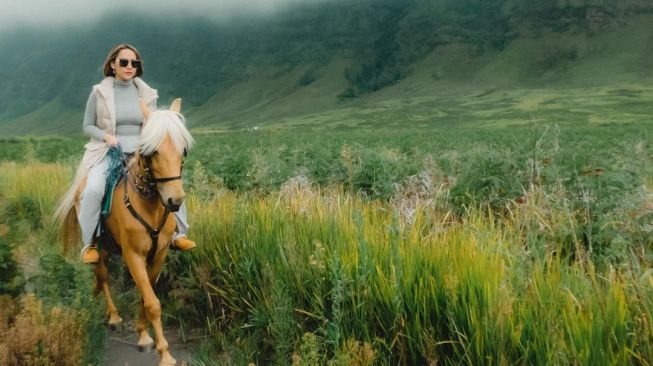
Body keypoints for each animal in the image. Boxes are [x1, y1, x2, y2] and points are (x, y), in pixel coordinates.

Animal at [56, 98, 191, 364]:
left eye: (183, 150)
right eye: (152, 151)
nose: (175, 200)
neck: (149, 204)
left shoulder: (158, 255)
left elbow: (146, 295)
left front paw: (144, 335)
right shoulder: (133, 255)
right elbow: (152, 302)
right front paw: (164, 352)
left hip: (109, 247)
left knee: (101, 278)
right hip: (99, 246)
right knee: (103, 275)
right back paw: (114, 317)